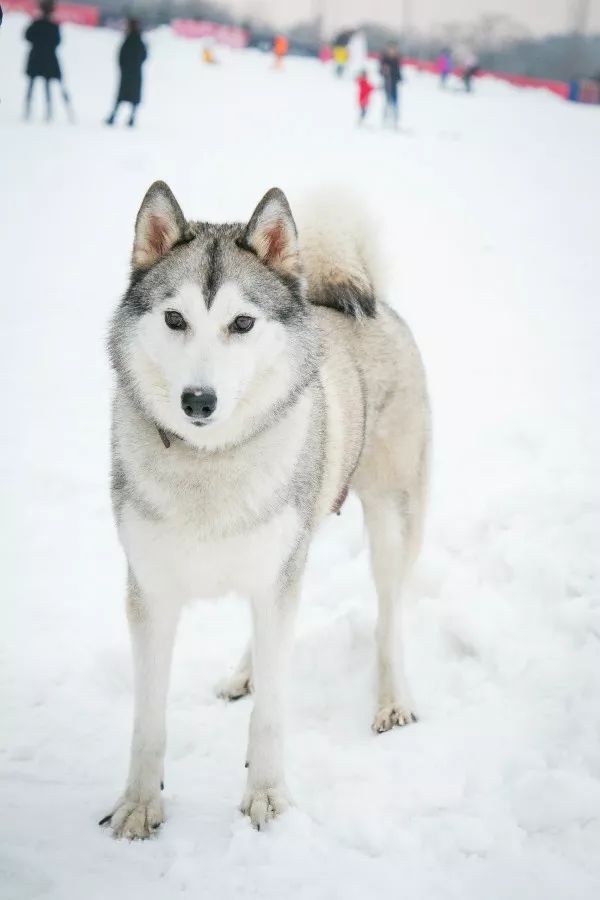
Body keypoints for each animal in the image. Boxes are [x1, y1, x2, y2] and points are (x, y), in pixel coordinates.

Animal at [102, 181, 432, 836]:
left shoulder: (279, 577)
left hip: (390, 519)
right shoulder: (150, 594)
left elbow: (273, 717)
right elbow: (147, 720)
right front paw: (139, 807)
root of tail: (360, 296)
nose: (198, 400)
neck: (208, 465)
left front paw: (268, 798)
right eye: (175, 318)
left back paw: (393, 702)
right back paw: (244, 673)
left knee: (388, 621)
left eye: (242, 323)